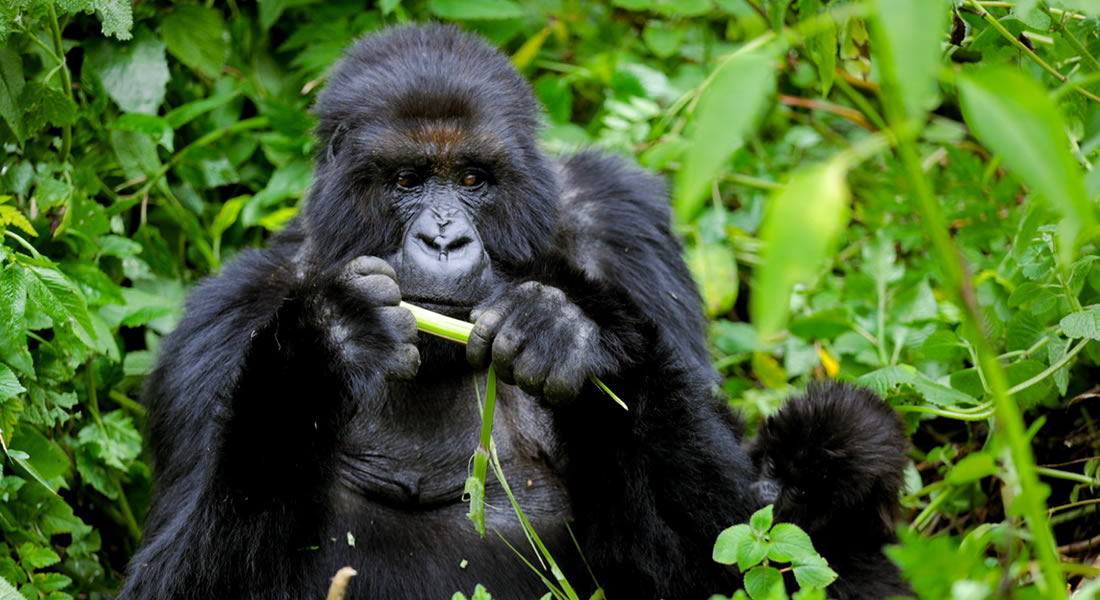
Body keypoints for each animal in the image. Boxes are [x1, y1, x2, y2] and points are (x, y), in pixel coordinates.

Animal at [120, 23, 910, 598]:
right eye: (406, 180)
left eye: (473, 178)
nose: (443, 239)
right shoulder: (219, 327)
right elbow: (174, 579)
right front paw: (318, 351)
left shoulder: (623, 228)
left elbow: (744, 540)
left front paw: (579, 335)